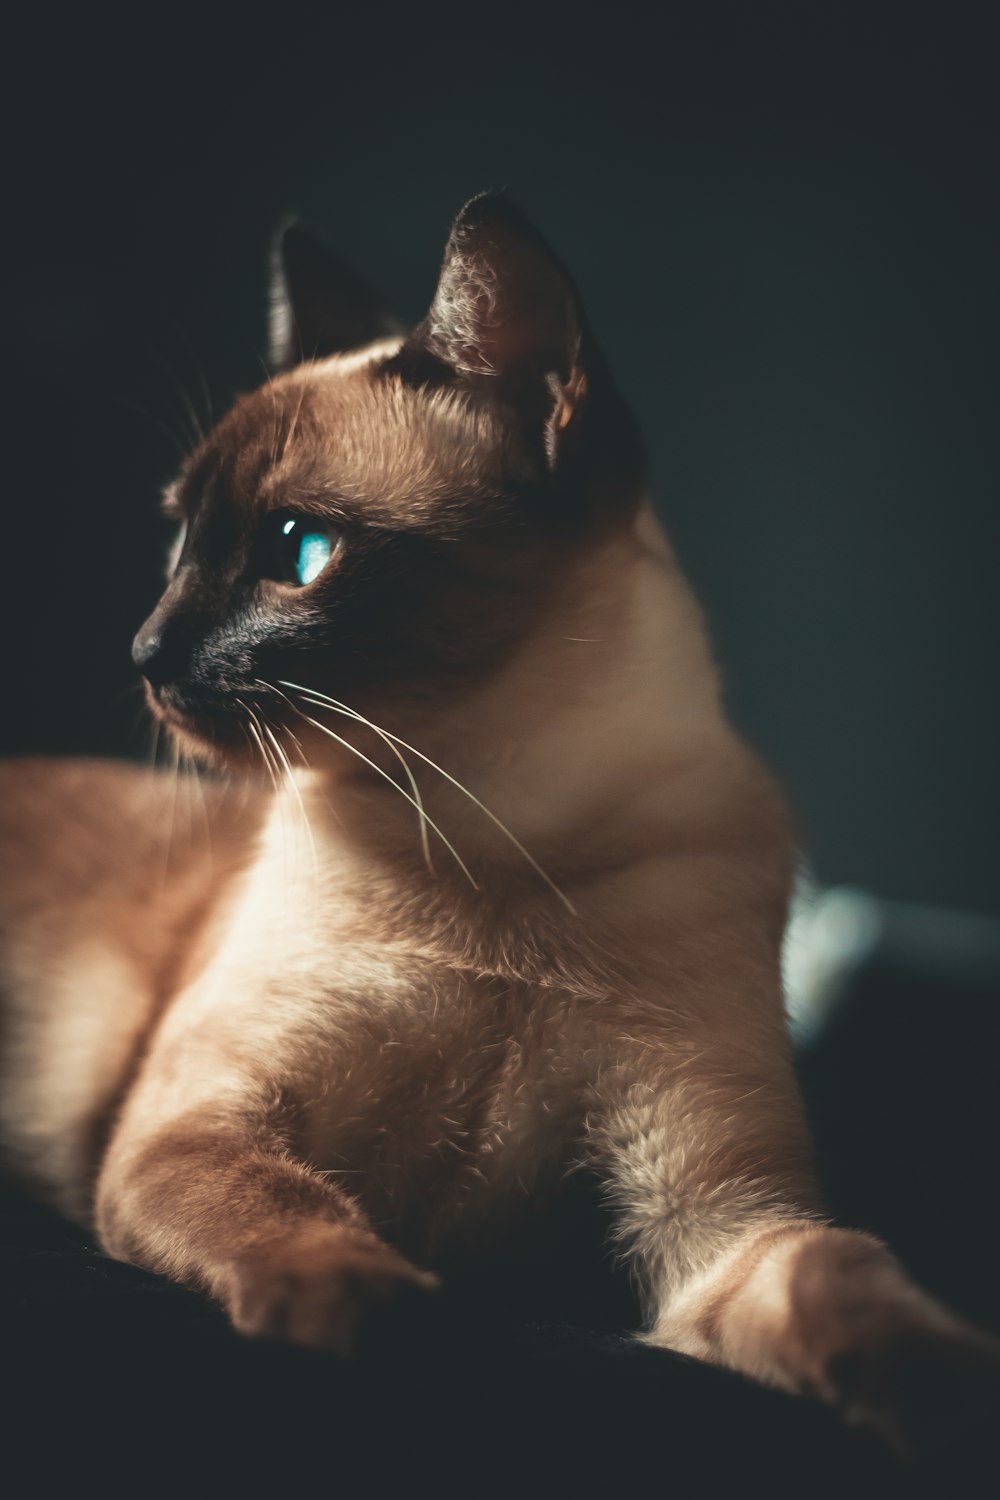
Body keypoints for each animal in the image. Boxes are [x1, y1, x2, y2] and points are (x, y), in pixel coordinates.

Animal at [0, 190, 995, 1452]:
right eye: (179, 543)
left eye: (296, 552)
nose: (145, 653)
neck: (493, 843)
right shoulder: (204, 1124)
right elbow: (293, 1214)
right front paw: (381, 1327)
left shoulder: (716, 1226)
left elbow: (848, 1283)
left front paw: (939, 1387)